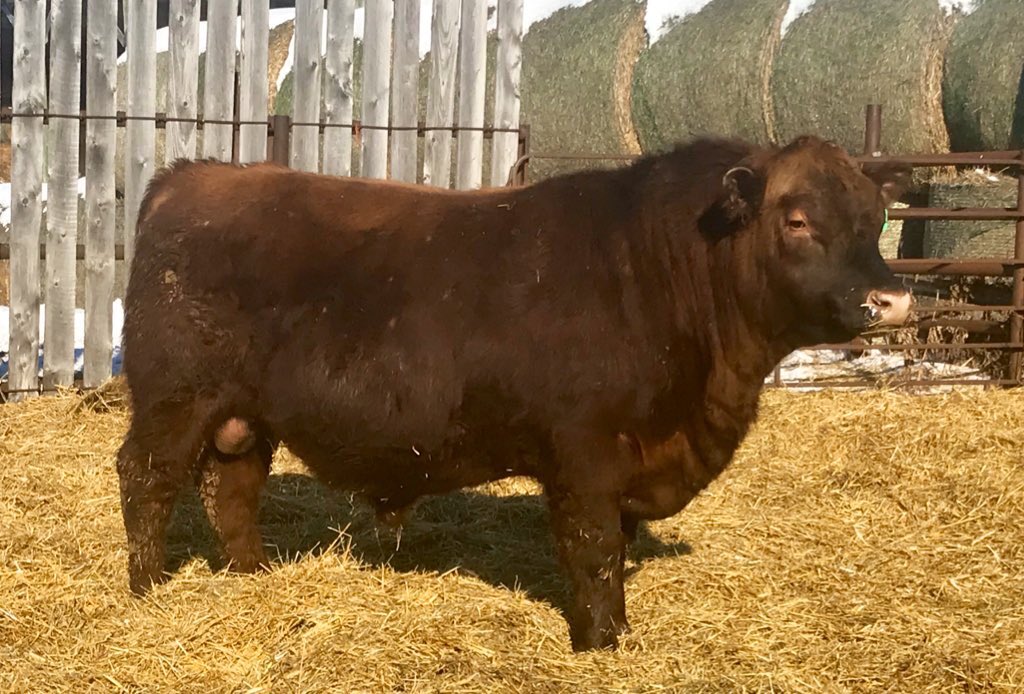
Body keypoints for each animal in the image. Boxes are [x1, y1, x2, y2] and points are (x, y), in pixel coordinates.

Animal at [115, 134, 913, 652]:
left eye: (873, 218)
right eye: (797, 220)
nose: (893, 300)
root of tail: (190, 177)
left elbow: (617, 544)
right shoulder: (583, 452)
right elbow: (593, 549)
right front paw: (601, 641)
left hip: (243, 416)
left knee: (232, 488)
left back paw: (252, 576)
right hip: (174, 398)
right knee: (148, 479)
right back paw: (149, 588)